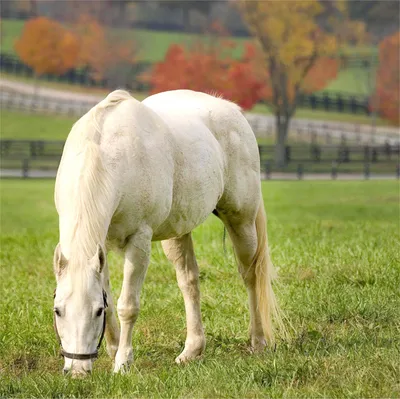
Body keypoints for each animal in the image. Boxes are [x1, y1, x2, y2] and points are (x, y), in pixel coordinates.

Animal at [53, 89, 282, 376]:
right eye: (58, 311)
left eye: (95, 312)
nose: (77, 371)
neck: (110, 155)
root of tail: (232, 110)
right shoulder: (99, 246)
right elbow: (111, 298)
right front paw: (114, 350)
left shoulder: (139, 241)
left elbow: (128, 305)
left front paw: (123, 363)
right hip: (178, 233)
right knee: (189, 281)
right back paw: (192, 350)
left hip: (242, 221)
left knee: (251, 275)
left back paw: (258, 341)